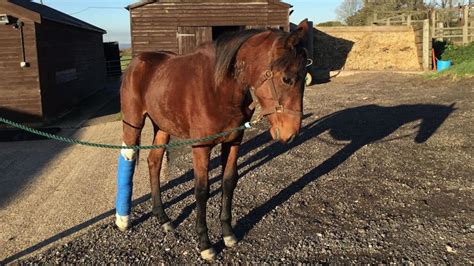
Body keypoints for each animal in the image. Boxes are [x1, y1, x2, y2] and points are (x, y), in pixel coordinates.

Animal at [115, 20, 312, 260]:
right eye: (287, 78)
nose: (290, 133)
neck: (219, 88)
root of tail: (136, 62)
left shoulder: (234, 141)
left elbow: (229, 182)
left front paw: (228, 234)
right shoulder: (202, 147)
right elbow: (202, 191)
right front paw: (205, 243)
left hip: (162, 126)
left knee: (154, 162)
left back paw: (162, 218)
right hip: (133, 122)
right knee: (128, 157)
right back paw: (123, 220)